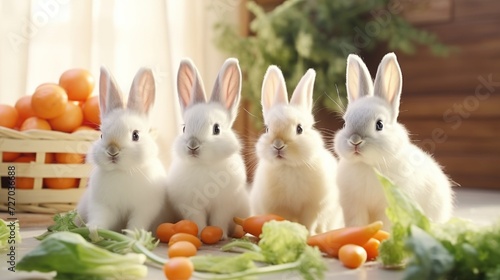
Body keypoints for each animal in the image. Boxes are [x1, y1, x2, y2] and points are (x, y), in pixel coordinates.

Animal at [76, 66, 172, 233]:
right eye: (101, 135)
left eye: (135, 135)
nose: (112, 151)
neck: (122, 172)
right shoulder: (102, 205)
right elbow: (100, 217)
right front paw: (93, 229)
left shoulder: (145, 208)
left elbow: (137, 221)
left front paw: (133, 234)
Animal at [165, 57, 249, 238]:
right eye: (184, 128)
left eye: (216, 129)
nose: (192, 146)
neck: (203, 165)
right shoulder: (192, 206)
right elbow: (198, 220)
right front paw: (199, 234)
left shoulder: (224, 206)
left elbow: (219, 221)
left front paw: (221, 235)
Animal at [252, 65, 346, 234]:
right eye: (268, 129)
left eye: (299, 129)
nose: (278, 145)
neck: (290, 167)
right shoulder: (279, 207)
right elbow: (284, 219)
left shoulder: (313, 207)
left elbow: (309, 222)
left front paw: (308, 234)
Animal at [334, 52, 456, 230]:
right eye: (345, 123)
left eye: (379, 124)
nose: (355, 141)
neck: (368, 165)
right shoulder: (354, 205)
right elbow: (356, 224)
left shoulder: (388, 205)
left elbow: (384, 224)